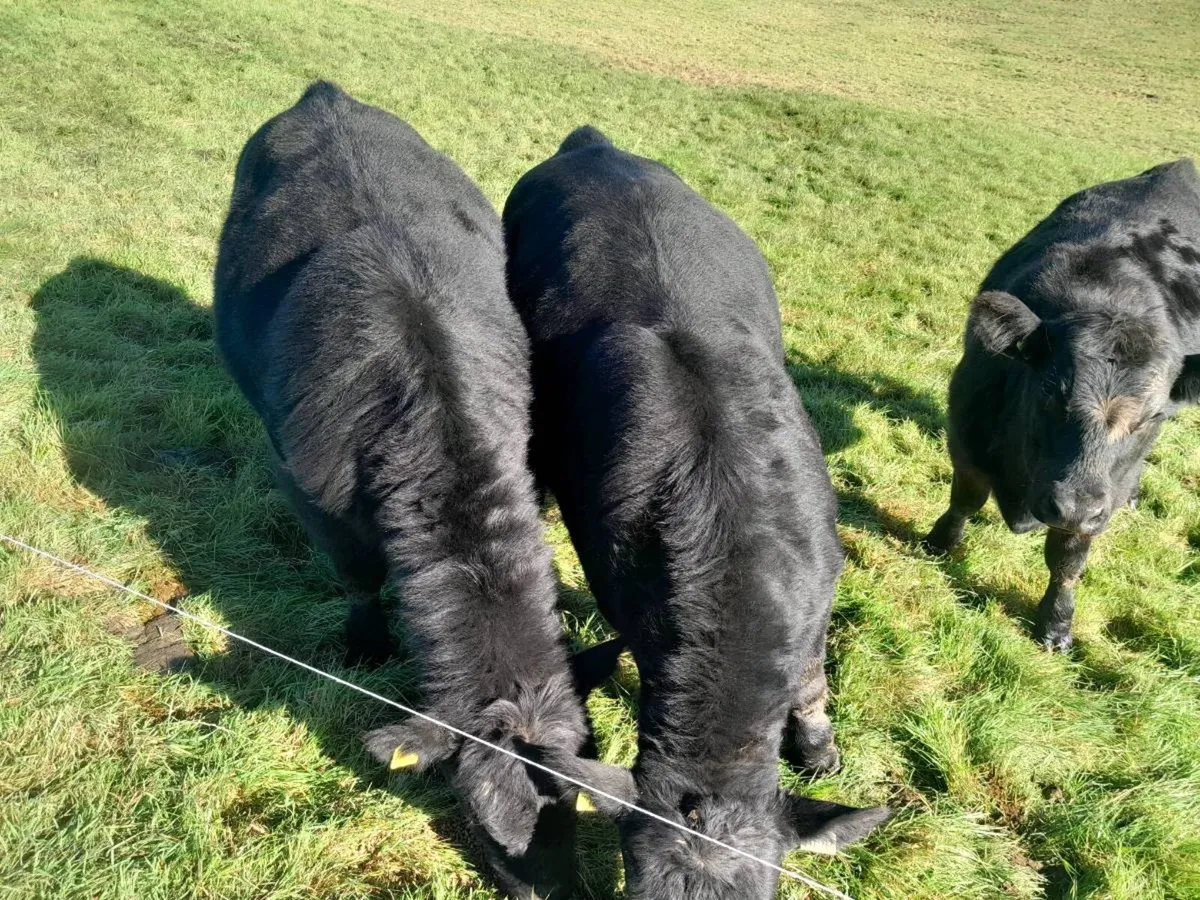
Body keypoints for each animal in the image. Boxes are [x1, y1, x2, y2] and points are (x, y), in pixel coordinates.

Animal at [213, 82, 588, 898]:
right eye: (482, 817)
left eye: (577, 807)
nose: (552, 890)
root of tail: (324, 94)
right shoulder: (311, 494)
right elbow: (358, 574)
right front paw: (365, 643)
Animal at [924, 159, 1200, 651]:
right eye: (1050, 391)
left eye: (1152, 417)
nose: (1071, 507)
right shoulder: (966, 436)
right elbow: (966, 500)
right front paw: (940, 541)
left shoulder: (1096, 506)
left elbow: (1068, 560)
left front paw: (1056, 624)